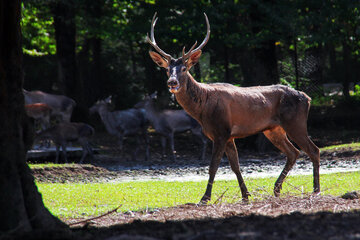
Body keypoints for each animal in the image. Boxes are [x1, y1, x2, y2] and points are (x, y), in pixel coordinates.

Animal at [146, 13, 320, 203]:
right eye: (167, 70)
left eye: (184, 68)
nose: (172, 82)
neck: (202, 110)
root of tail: (307, 98)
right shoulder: (228, 136)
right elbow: (235, 166)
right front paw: (245, 196)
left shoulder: (221, 132)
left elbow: (213, 166)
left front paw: (205, 198)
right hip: (273, 129)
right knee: (293, 152)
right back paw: (276, 190)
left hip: (295, 123)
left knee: (313, 150)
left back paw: (316, 190)